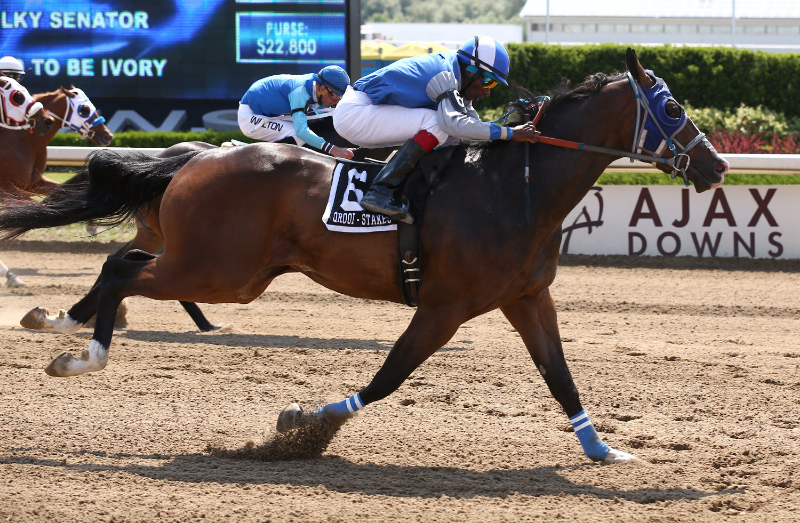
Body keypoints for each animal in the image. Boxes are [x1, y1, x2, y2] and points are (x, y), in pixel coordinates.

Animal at [0, 49, 728, 463]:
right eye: (670, 107)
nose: (717, 166)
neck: (515, 187)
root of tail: (199, 156)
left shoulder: (525, 295)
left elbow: (561, 376)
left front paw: (604, 448)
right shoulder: (445, 305)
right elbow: (389, 377)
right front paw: (303, 428)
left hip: (220, 265)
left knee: (120, 262)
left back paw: (72, 334)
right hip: (221, 269)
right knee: (124, 271)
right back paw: (81, 353)